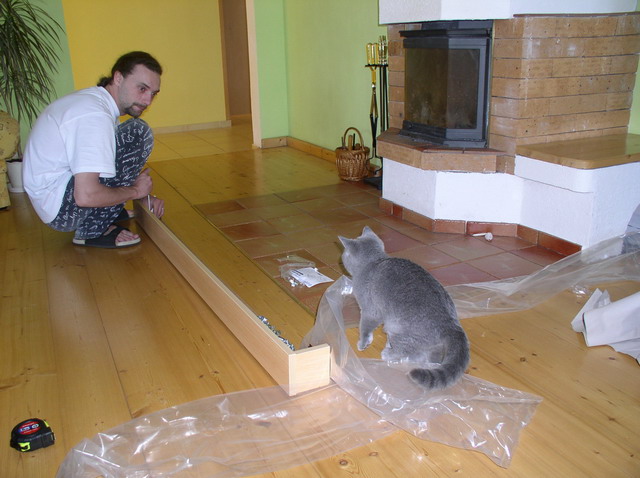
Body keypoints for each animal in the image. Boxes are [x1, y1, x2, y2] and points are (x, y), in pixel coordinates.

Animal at [338, 226, 470, 391]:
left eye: (344, 254)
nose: (341, 258)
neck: (374, 262)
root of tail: (450, 324)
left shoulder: (370, 310)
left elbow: (365, 327)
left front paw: (363, 343)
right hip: (433, 344)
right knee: (430, 358)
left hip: (397, 328)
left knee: (406, 350)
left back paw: (388, 353)